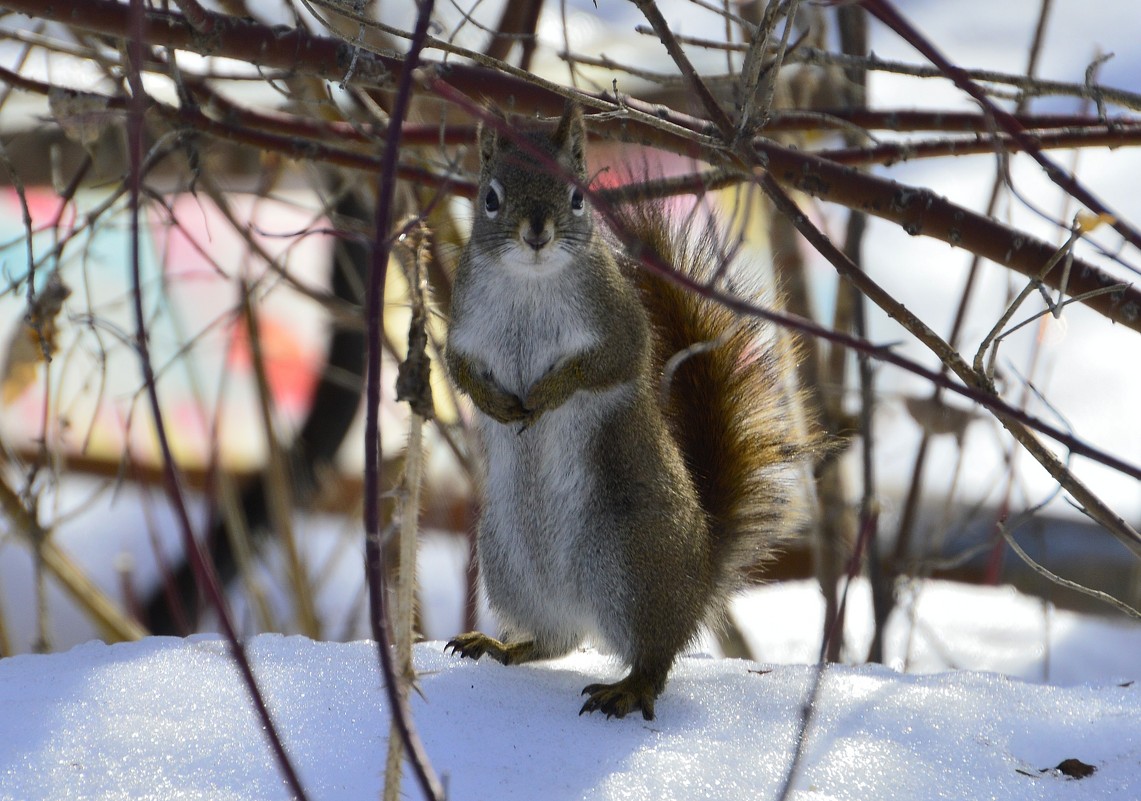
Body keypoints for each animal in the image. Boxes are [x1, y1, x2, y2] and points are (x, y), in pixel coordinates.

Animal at [442, 102, 812, 721]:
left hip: (632, 560)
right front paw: (497, 403)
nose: (536, 234)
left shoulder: (619, 326)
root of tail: (696, 584)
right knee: (556, 640)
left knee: (655, 656)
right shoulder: (462, 328)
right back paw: (501, 645)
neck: (529, 283)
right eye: (490, 198)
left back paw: (629, 687)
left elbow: (606, 366)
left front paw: (549, 392)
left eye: (576, 197)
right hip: (510, 565)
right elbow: (460, 372)